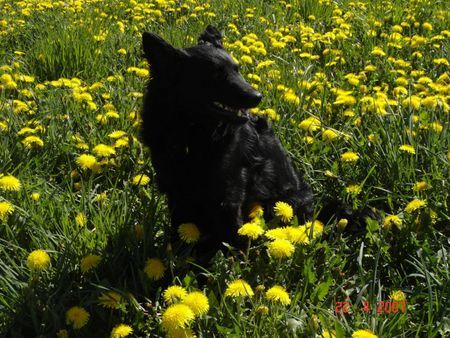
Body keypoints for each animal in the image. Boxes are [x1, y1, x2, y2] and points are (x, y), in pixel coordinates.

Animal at [142, 25, 314, 258]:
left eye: (237, 70)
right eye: (216, 75)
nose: (258, 96)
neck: (193, 133)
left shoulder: (228, 198)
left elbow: (232, 240)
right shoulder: (176, 193)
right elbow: (179, 234)